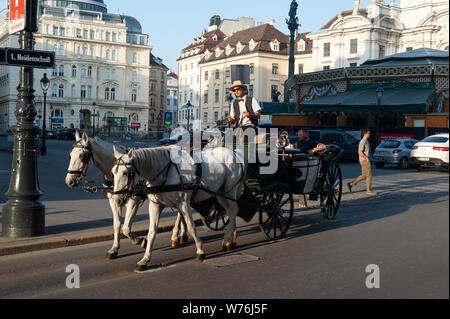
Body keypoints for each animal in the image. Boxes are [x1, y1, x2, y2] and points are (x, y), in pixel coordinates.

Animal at [65, 132, 149, 260]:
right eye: (70, 155)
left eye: (81, 156)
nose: (69, 181)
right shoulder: (114, 201)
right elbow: (117, 225)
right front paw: (114, 248)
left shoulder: (134, 202)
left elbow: (126, 228)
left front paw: (141, 242)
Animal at [112, 146, 246, 272]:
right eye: (113, 172)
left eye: (125, 172)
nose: (117, 200)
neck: (165, 173)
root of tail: (235, 152)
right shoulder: (155, 206)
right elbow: (151, 233)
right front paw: (145, 259)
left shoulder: (184, 204)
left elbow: (192, 228)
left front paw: (200, 251)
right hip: (220, 194)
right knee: (231, 211)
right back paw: (232, 239)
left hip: (229, 192)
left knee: (233, 210)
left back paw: (227, 239)